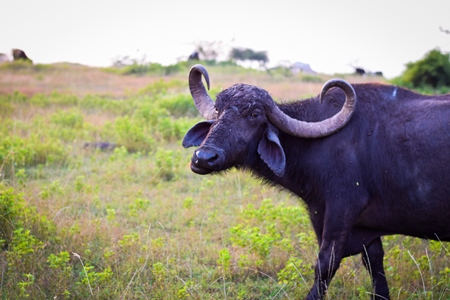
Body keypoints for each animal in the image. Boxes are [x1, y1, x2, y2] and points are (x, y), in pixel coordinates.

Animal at [182, 64, 450, 298]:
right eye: (218, 110)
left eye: (254, 114)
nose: (203, 157)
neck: (320, 144)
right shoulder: (359, 226)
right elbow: (374, 262)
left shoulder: (342, 210)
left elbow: (325, 264)